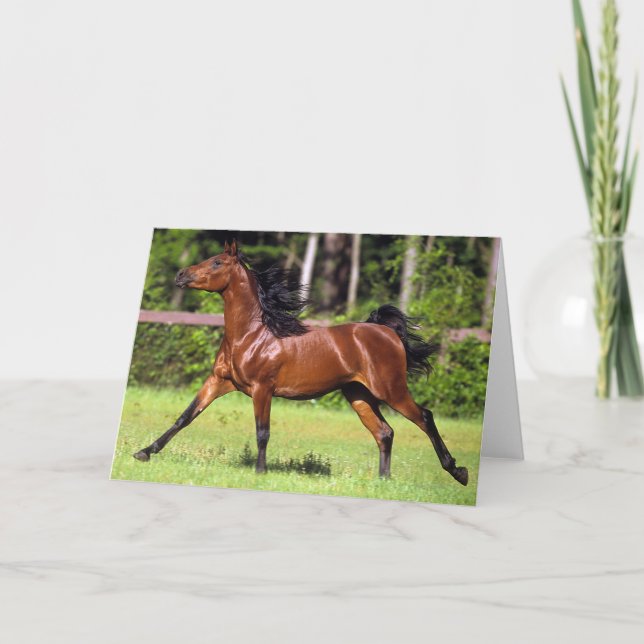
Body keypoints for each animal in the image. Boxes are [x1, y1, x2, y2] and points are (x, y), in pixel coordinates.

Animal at [133, 239, 468, 486]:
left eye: (216, 262)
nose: (180, 275)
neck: (253, 335)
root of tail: (386, 332)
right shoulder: (219, 382)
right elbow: (185, 417)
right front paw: (144, 452)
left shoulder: (262, 389)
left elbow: (262, 431)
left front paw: (260, 472)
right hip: (359, 395)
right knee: (384, 432)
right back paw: (383, 481)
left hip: (391, 390)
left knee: (424, 417)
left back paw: (458, 471)